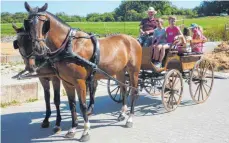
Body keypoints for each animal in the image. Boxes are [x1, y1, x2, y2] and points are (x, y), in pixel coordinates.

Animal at [23, 2, 141, 142]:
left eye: (45, 23)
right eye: (28, 23)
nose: (38, 48)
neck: (69, 46)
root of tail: (133, 39)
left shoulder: (79, 82)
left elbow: (83, 105)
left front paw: (85, 131)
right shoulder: (67, 82)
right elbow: (72, 104)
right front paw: (73, 129)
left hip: (133, 71)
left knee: (133, 91)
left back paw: (130, 118)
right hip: (120, 72)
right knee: (123, 89)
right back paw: (122, 113)